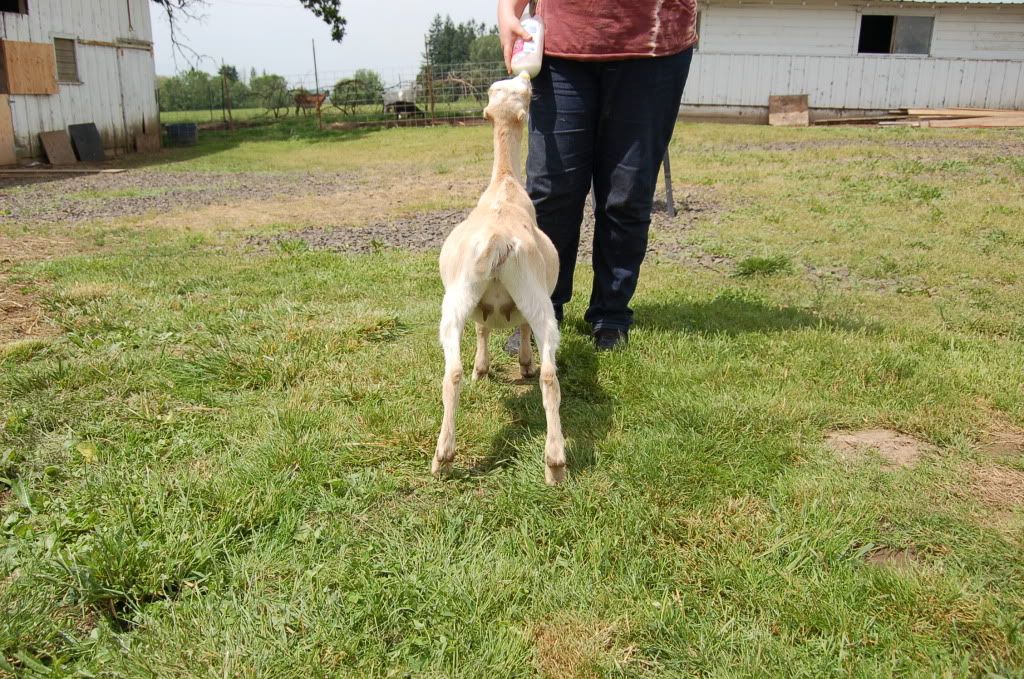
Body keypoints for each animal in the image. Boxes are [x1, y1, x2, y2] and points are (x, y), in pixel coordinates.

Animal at [432, 74, 566, 485]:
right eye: (526, 93)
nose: (525, 77)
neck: (505, 185)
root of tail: (496, 238)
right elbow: (510, 328)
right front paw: (519, 363)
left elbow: (483, 329)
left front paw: (485, 367)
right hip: (537, 298)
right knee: (549, 374)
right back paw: (556, 462)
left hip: (457, 299)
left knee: (452, 371)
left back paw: (444, 457)